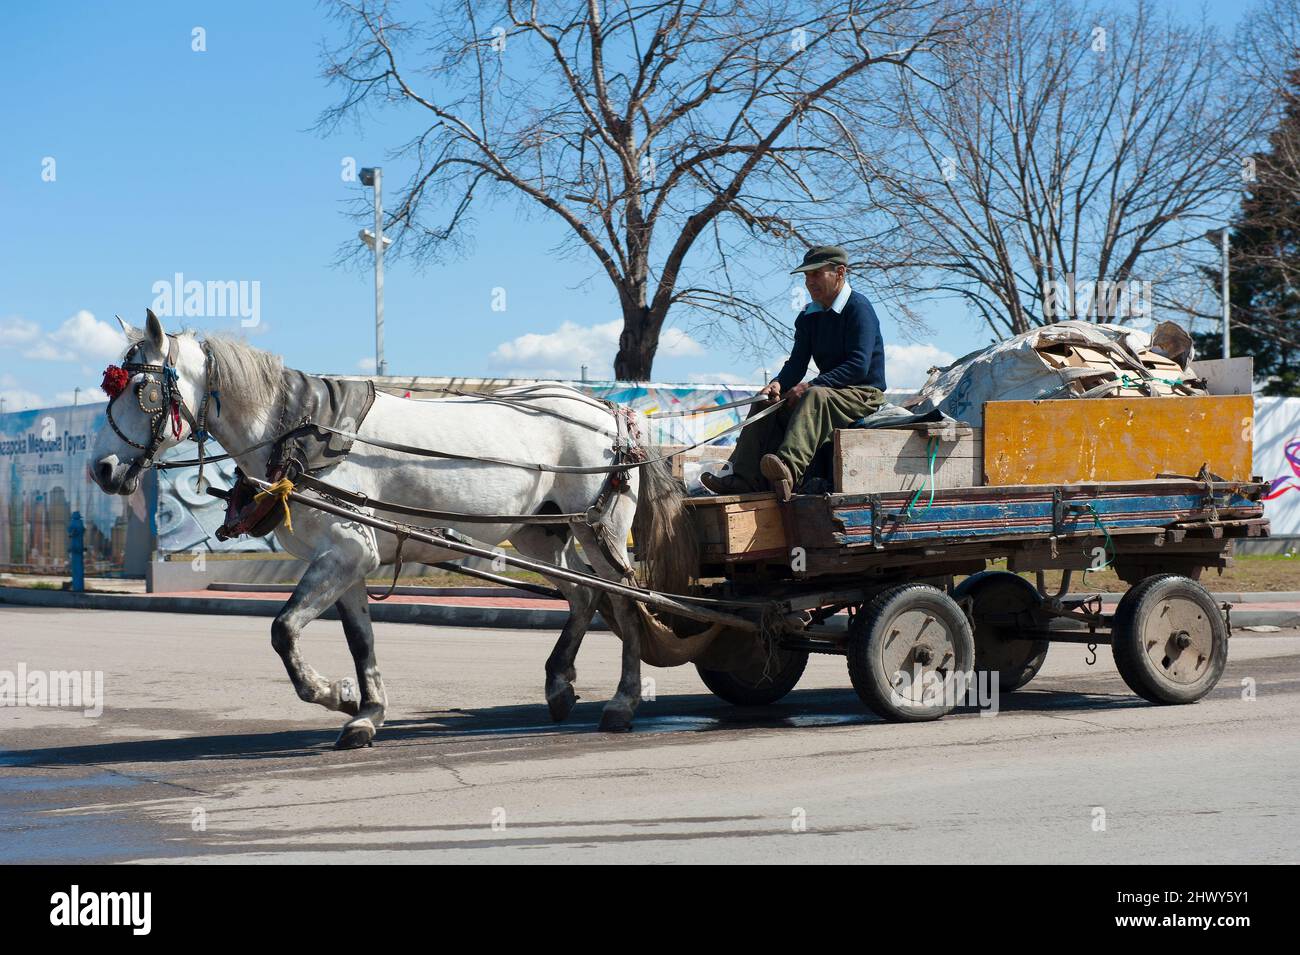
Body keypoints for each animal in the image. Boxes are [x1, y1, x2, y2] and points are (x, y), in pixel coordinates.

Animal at [89, 310, 702, 748]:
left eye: (141, 390)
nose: (100, 470)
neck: (301, 433)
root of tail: (610, 411)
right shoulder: (348, 563)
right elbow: (361, 640)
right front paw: (366, 712)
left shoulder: (345, 553)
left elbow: (283, 630)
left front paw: (331, 693)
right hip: (540, 532)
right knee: (581, 595)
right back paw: (558, 684)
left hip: (601, 530)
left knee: (624, 600)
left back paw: (621, 704)